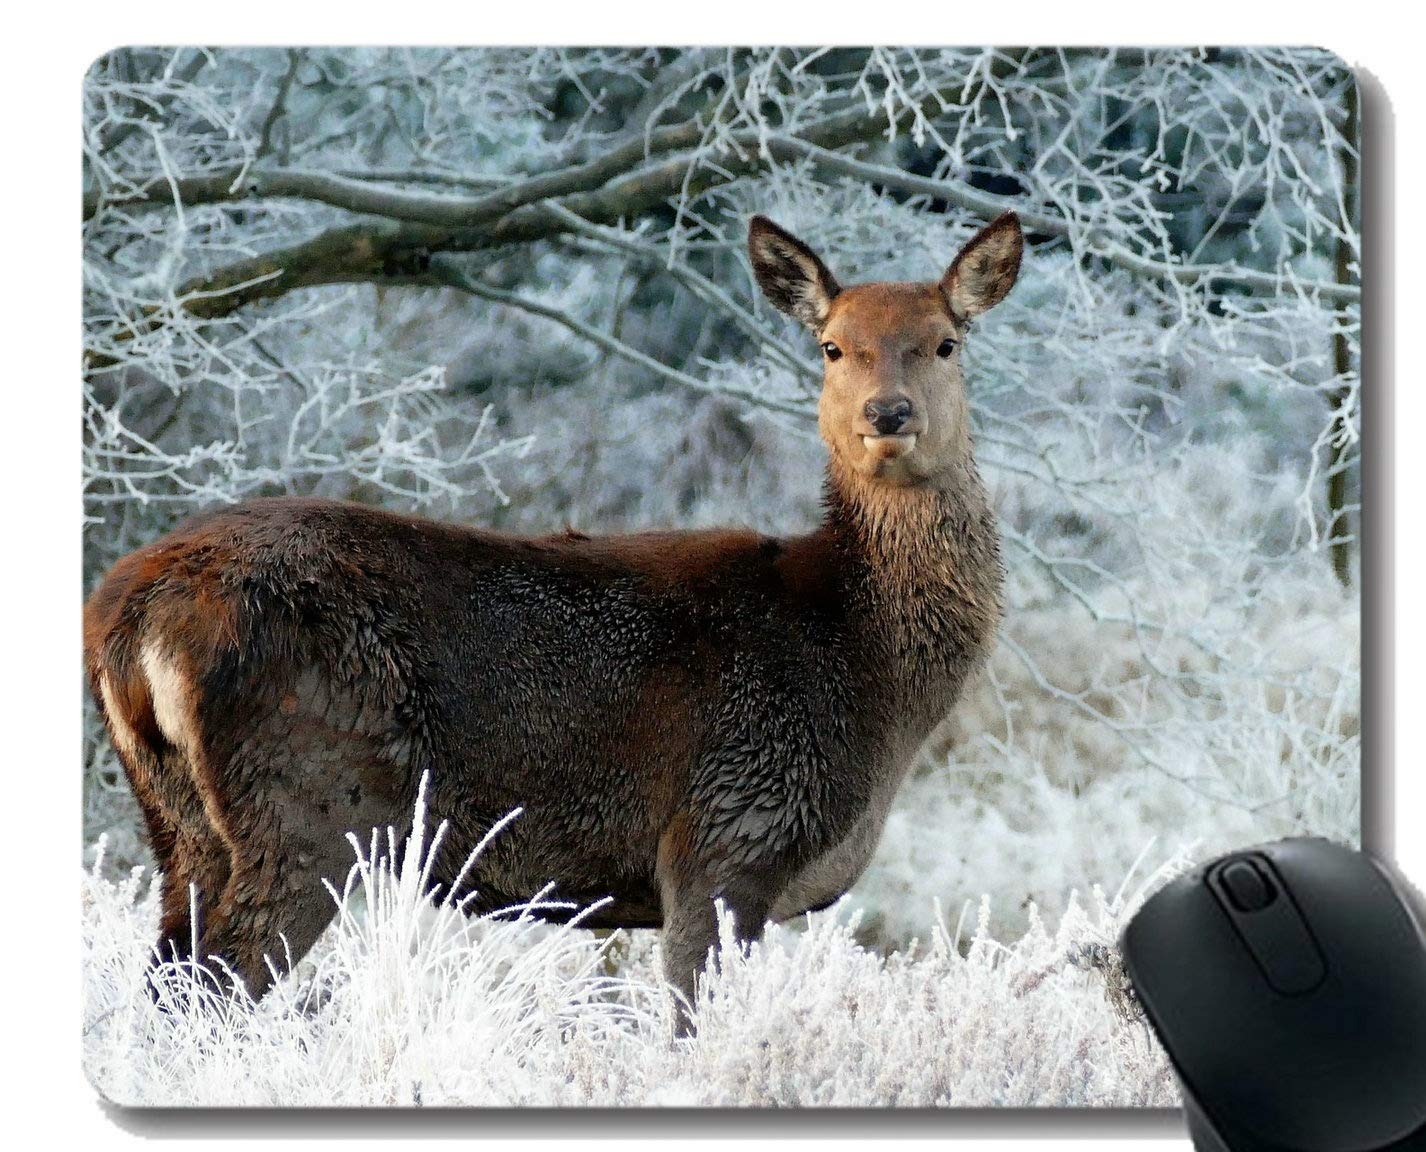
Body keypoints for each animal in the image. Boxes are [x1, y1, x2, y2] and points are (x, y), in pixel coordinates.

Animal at [83, 210, 1022, 1030]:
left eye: (945, 342)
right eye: (833, 346)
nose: (887, 414)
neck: (863, 667)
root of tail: (127, 616)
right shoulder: (727, 835)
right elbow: (690, 1024)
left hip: (180, 821)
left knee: (167, 981)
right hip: (307, 799)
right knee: (212, 988)